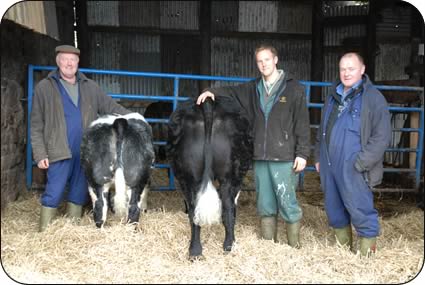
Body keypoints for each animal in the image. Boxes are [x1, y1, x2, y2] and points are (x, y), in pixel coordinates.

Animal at [166, 97, 252, 258]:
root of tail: (207, 101)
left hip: (191, 176)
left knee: (195, 211)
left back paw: (195, 251)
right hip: (230, 175)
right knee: (227, 207)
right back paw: (229, 245)